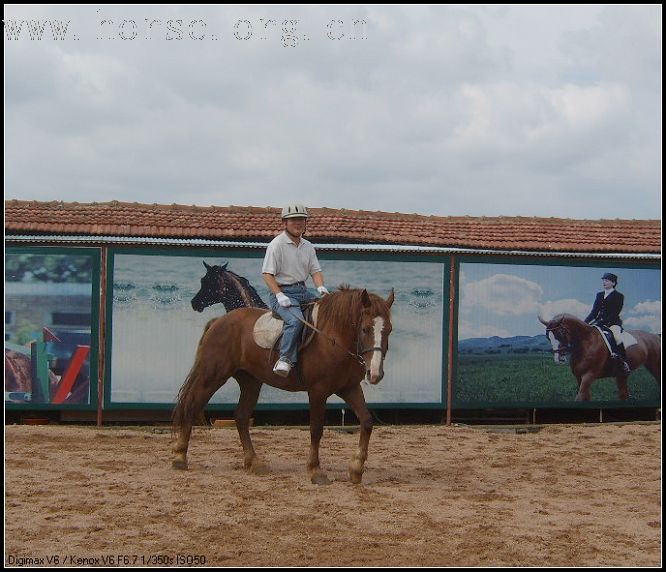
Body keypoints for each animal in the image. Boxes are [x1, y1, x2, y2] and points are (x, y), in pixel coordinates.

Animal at [172, 286, 394, 482]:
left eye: (389, 330)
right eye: (365, 329)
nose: (375, 373)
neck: (333, 337)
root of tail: (219, 321)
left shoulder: (349, 388)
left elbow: (367, 422)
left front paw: (356, 469)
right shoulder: (318, 391)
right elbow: (316, 429)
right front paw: (315, 471)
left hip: (251, 382)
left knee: (241, 417)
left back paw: (253, 462)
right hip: (212, 376)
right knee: (191, 405)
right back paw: (180, 457)